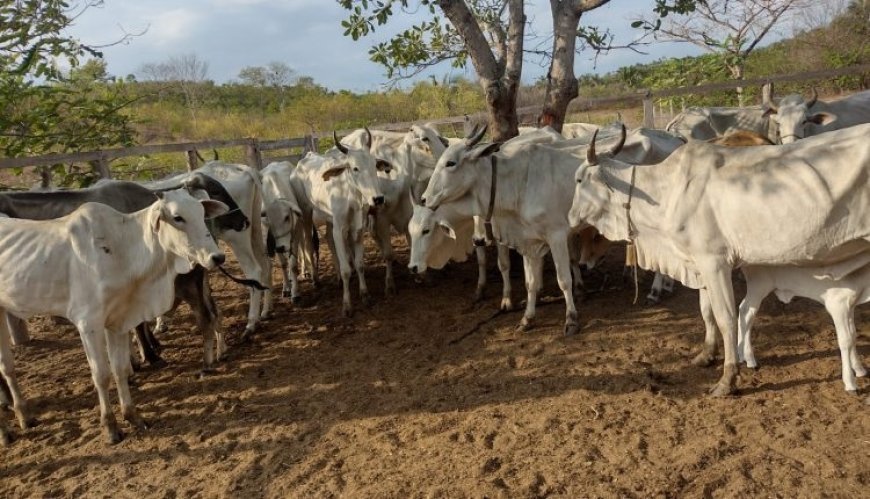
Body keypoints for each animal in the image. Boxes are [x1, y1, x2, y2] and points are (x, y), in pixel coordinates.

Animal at [0, 191, 228, 446]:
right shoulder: (88, 324)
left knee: (6, 366)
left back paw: (24, 415)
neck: (121, 249)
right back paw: (7, 431)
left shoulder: (118, 322)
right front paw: (110, 427)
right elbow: (101, 375)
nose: (217, 257)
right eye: (178, 217)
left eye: (201, 212)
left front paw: (132, 416)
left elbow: (119, 369)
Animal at [736, 258, 870, 394]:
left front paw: (859, 369)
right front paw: (850, 384)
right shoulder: (838, 305)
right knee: (747, 312)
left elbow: (853, 335)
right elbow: (846, 340)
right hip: (759, 285)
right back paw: (748, 358)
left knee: (745, 312)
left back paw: (744, 356)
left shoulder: (850, 307)